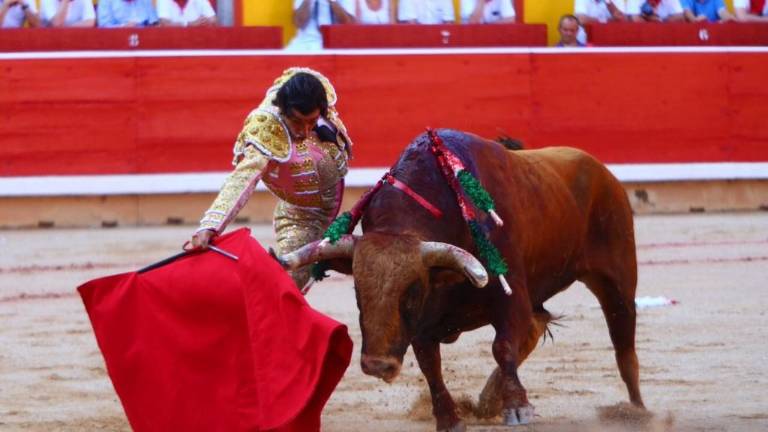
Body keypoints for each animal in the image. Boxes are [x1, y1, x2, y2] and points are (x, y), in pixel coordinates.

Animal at [280, 130, 640, 430]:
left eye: (413, 291)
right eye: (358, 290)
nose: (378, 365)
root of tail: (601, 171)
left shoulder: (511, 296)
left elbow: (502, 346)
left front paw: (517, 407)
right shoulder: (424, 325)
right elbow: (431, 365)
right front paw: (450, 419)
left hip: (618, 279)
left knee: (623, 343)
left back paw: (636, 412)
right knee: (537, 326)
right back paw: (487, 401)